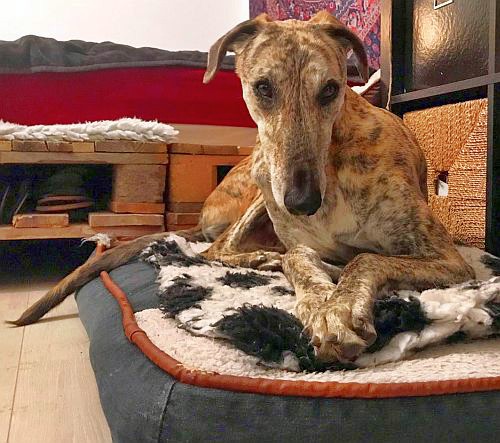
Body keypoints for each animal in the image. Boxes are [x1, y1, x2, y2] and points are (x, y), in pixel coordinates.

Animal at [10, 11, 474, 363]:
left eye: (331, 89)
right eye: (262, 87)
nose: (302, 202)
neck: (332, 163)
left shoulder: (449, 260)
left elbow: (365, 258)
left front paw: (339, 305)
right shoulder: (297, 235)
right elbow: (298, 260)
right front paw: (320, 303)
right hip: (257, 183)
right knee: (215, 250)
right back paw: (263, 257)